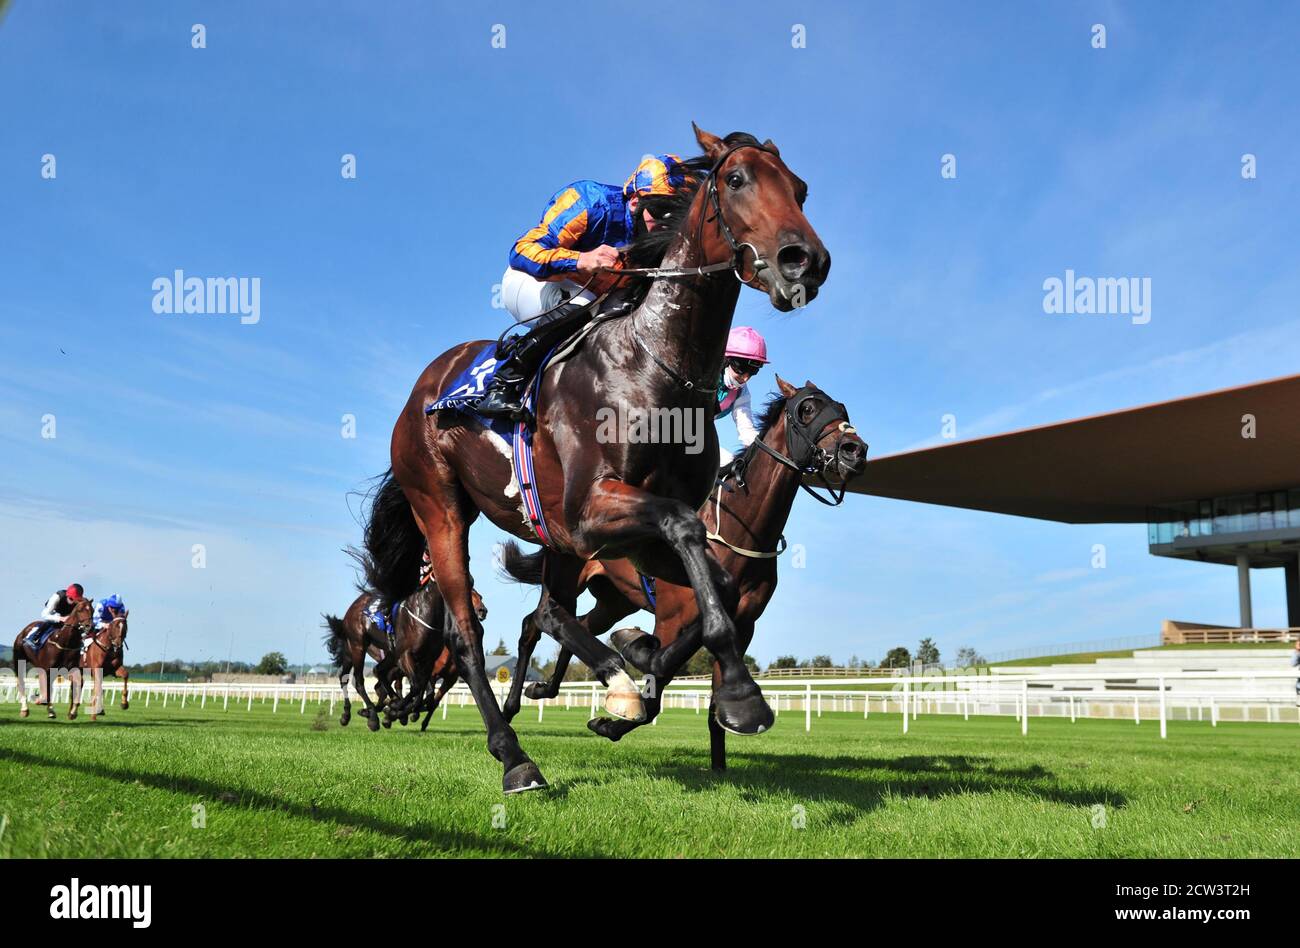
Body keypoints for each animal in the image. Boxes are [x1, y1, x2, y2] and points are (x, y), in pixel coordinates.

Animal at [361, 124, 826, 790]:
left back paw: (613, 681)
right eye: (737, 180)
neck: (657, 369)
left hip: (553, 533)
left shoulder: (631, 529)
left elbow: (704, 578)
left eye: (801, 190)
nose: (805, 260)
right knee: (469, 632)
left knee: (551, 611)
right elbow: (686, 534)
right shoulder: (594, 511)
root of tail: (424, 387)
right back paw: (514, 754)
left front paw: (691, 678)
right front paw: (732, 693)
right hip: (443, 507)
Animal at [501, 374, 868, 764]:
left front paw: (721, 762)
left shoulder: (744, 623)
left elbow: (712, 701)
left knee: (580, 624)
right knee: (533, 623)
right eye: (808, 408)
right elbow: (659, 683)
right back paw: (512, 705)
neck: (740, 532)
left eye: (843, 409)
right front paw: (614, 712)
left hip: (614, 600)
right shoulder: (671, 617)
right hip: (573, 577)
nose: (855, 450)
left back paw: (546, 687)